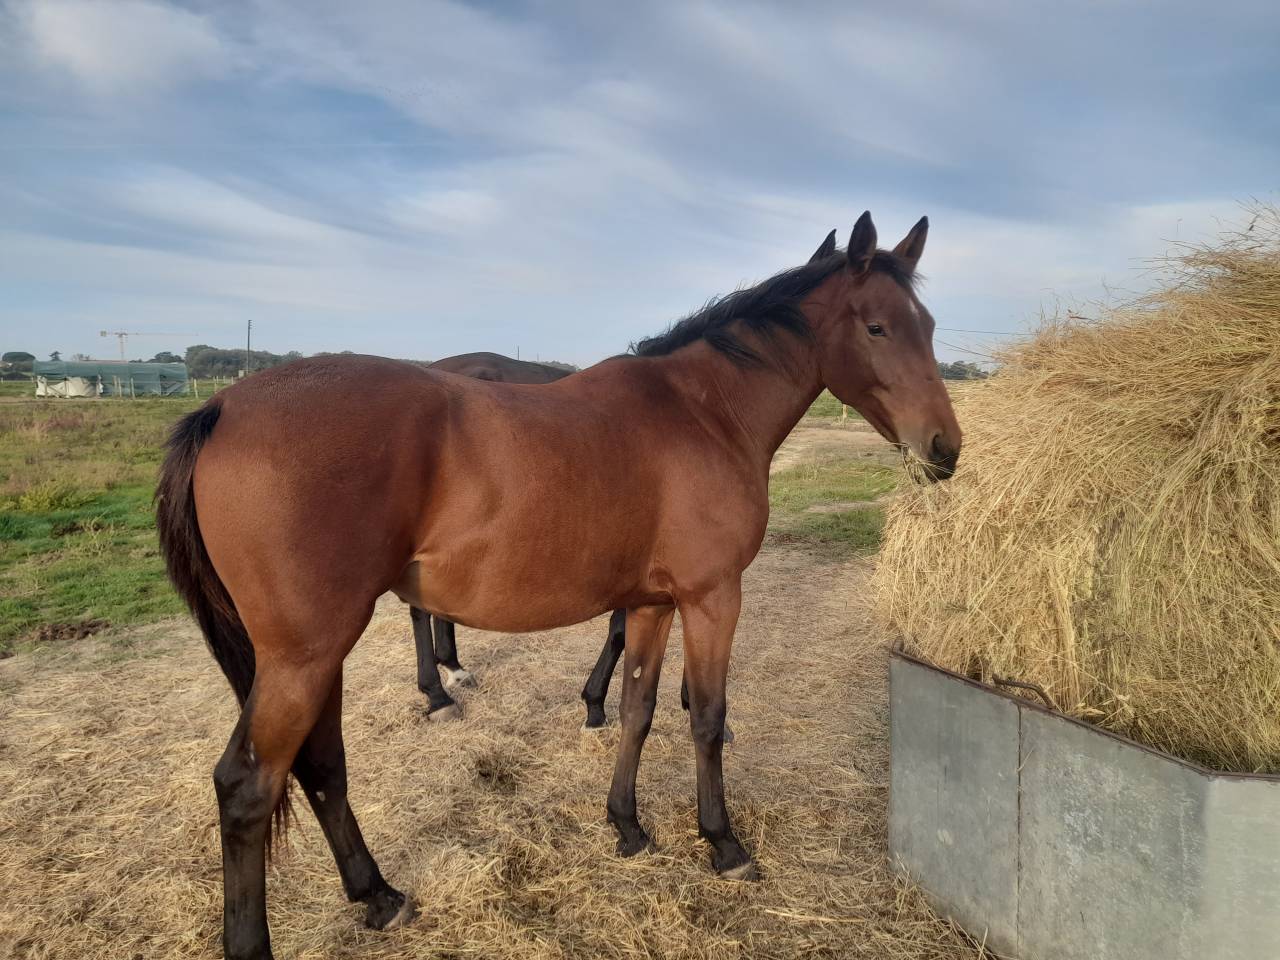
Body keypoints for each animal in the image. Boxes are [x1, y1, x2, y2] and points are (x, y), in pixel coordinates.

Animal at [156, 212, 959, 959]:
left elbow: (637, 708)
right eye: (879, 326)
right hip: (306, 655)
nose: (945, 448)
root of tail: (222, 408)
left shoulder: (650, 603)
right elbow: (705, 718)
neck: (703, 410)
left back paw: (379, 896)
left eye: (928, 326)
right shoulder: (711, 597)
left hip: (313, 657)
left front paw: (628, 825)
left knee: (321, 765)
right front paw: (722, 843)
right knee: (249, 786)